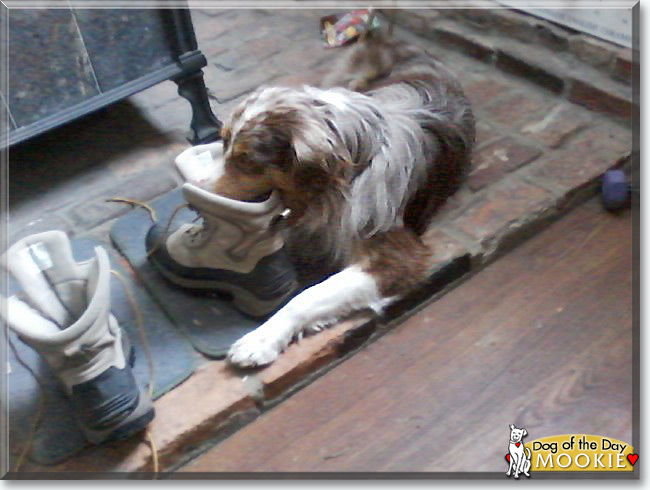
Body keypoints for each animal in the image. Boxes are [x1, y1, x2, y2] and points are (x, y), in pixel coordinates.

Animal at [215, 32, 474, 366]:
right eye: (223, 142)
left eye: (246, 161)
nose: (193, 191)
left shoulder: (396, 254)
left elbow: (308, 295)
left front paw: (261, 339)